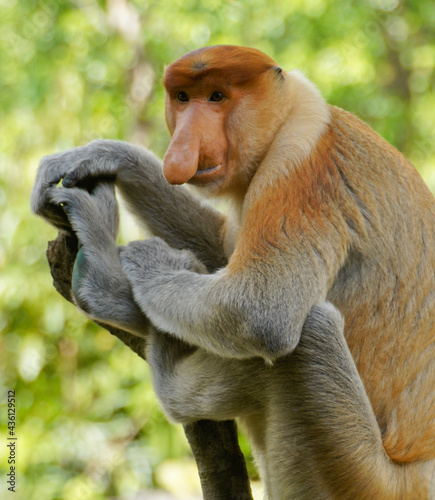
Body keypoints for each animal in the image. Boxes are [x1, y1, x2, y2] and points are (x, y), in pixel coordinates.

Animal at [32, 46, 434, 496]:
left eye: (218, 97)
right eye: (183, 98)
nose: (184, 147)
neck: (287, 116)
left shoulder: (301, 170)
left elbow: (262, 310)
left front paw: (132, 273)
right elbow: (223, 247)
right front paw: (109, 156)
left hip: (355, 472)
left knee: (308, 331)